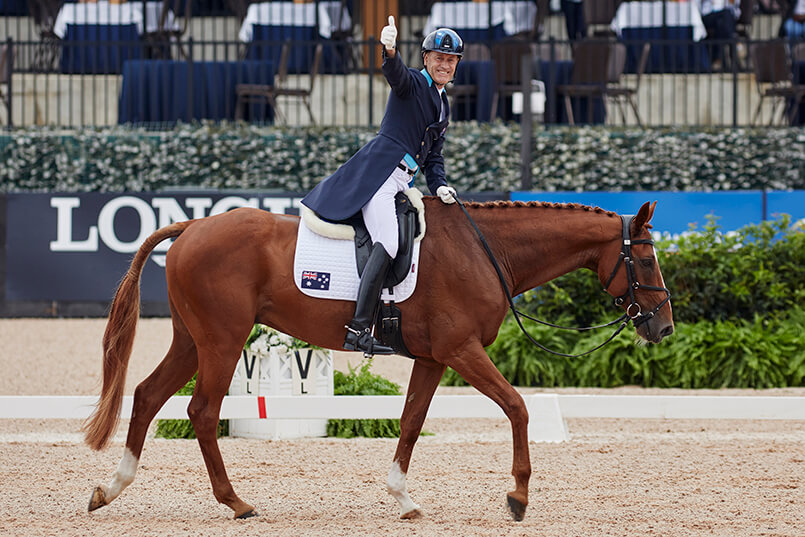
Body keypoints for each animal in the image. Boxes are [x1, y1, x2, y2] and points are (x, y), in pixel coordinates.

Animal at [83, 197, 672, 520]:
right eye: (645, 259)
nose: (663, 327)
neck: (485, 251)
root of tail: (191, 226)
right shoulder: (463, 350)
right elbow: (518, 407)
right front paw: (518, 496)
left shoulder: (435, 358)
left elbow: (411, 421)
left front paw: (403, 499)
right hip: (223, 342)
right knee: (201, 412)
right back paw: (236, 502)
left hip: (193, 341)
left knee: (147, 396)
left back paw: (110, 489)